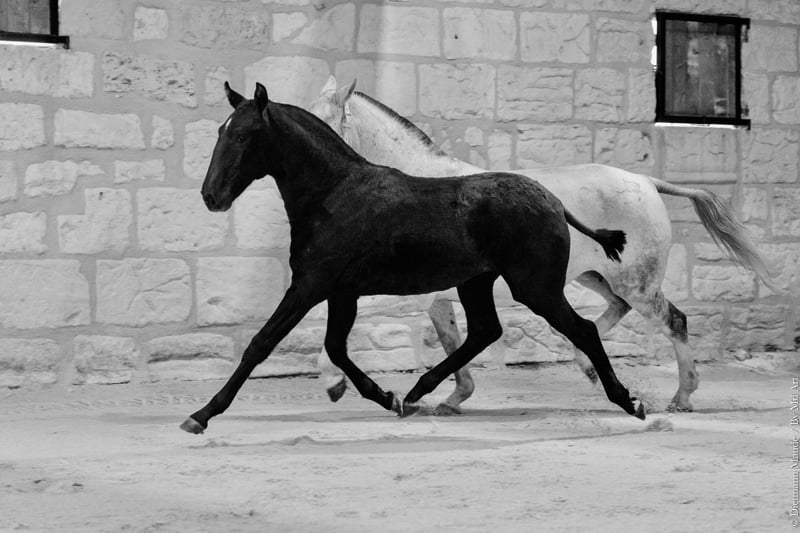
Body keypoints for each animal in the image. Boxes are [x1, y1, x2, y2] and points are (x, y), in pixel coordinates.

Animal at [181, 82, 644, 434]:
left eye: (242, 135)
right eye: (221, 131)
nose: (211, 196)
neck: (334, 194)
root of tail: (553, 201)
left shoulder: (310, 285)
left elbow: (261, 344)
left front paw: (202, 414)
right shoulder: (341, 292)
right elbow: (335, 347)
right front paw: (387, 397)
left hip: (536, 288)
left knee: (583, 330)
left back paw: (631, 401)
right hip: (477, 283)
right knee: (485, 331)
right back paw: (419, 392)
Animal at [308, 76, 775, 414]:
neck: (416, 188)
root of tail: (645, 181)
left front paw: (332, 382)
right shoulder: (439, 297)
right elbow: (453, 340)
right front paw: (452, 398)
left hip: (635, 283)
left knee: (673, 321)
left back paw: (681, 396)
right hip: (595, 277)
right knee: (612, 314)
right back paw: (589, 367)